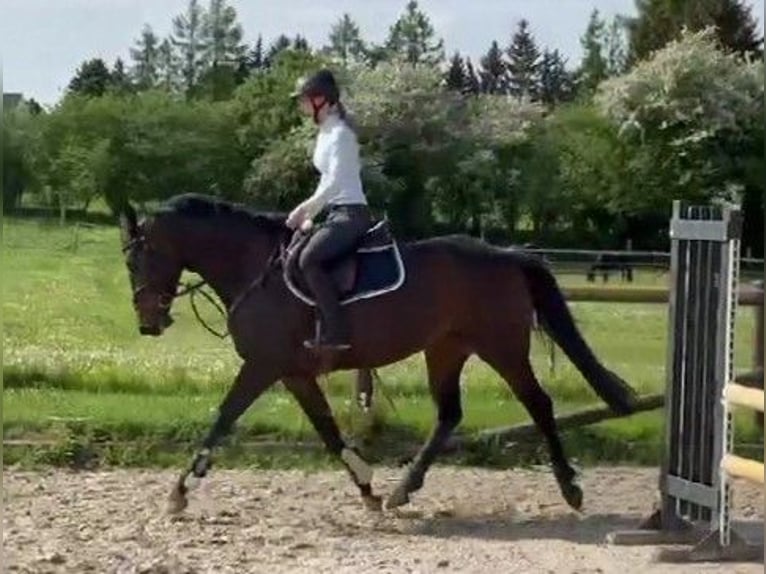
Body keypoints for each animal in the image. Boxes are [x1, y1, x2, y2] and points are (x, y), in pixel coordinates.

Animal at [117, 194, 640, 512]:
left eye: (138, 259)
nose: (148, 323)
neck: (254, 269)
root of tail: (507, 255)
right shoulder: (293, 373)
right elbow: (328, 432)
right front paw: (367, 489)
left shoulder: (263, 365)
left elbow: (224, 417)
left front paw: (180, 492)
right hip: (446, 349)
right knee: (449, 414)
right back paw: (401, 491)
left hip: (503, 347)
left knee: (539, 404)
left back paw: (570, 488)